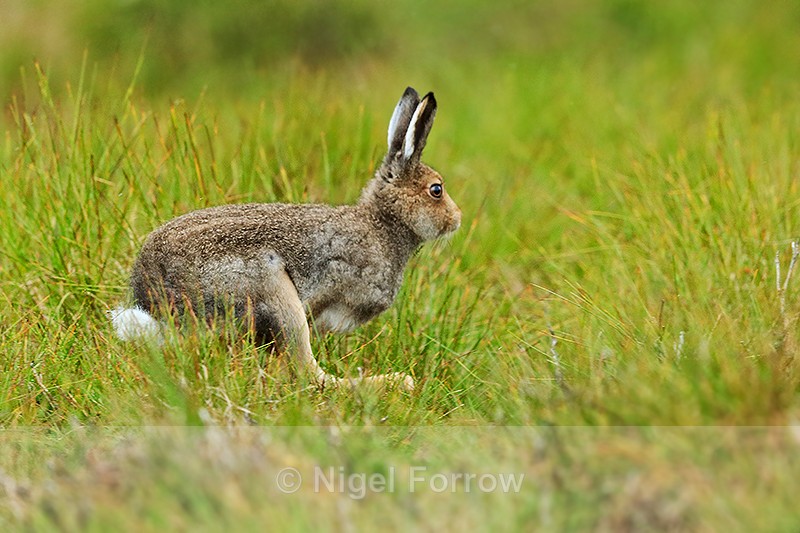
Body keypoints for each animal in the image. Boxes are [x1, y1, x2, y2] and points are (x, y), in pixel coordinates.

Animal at [110, 87, 461, 391]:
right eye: (436, 190)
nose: (457, 219)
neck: (381, 223)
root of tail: (154, 299)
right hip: (273, 290)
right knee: (308, 371)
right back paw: (393, 382)